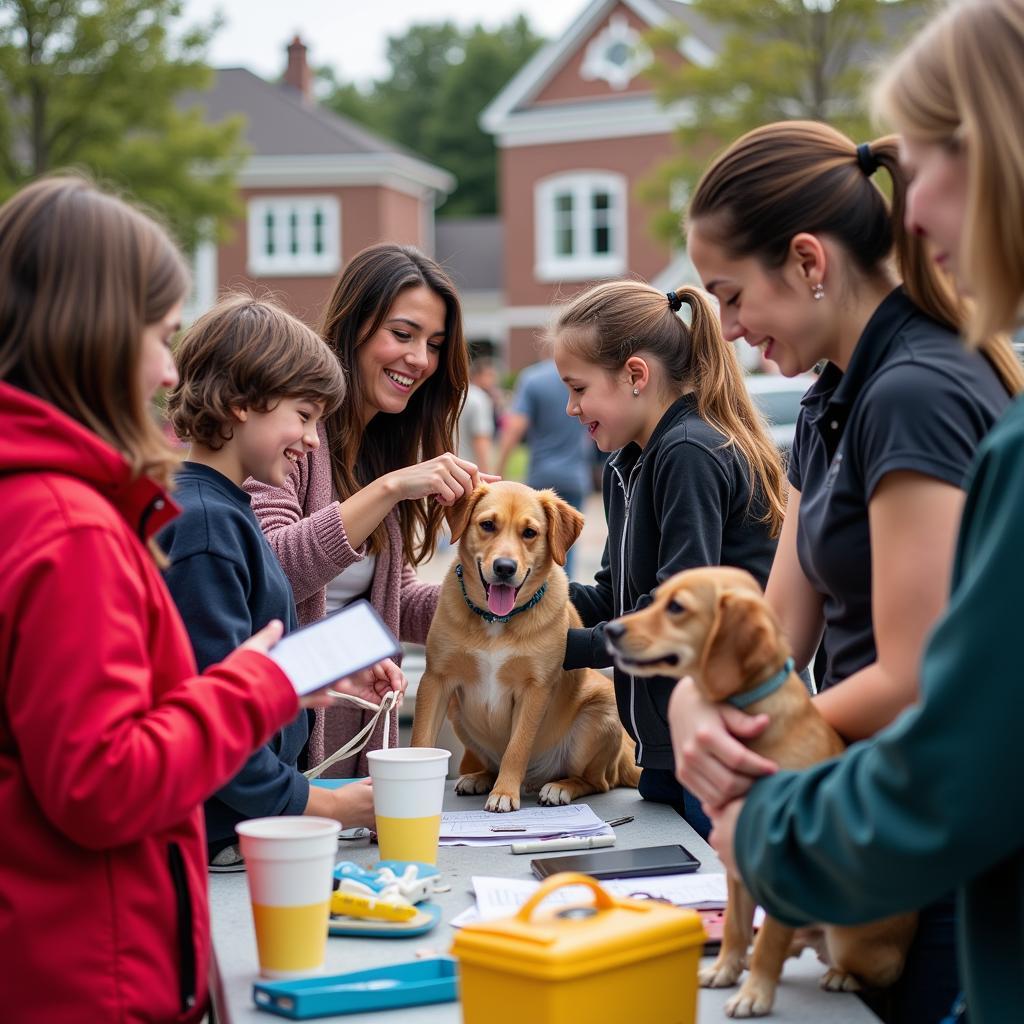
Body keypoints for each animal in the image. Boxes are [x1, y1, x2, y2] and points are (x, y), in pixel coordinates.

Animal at [409, 483, 634, 811]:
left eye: (529, 532)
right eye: (488, 525)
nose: (504, 568)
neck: (496, 620)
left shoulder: (535, 690)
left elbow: (516, 747)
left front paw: (504, 793)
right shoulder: (436, 680)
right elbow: (421, 739)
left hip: (599, 714)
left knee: (598, 783)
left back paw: (560, 787)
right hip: (457, 713)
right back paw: (480, 778)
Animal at [602, 565, 917, 1019]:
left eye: (677, 607)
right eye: (658, 599)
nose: (610, 629)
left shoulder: (777, 871)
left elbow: (768, 939)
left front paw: (755, 995)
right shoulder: (735, 864)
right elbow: (737, 925)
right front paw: (726, 969)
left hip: (853, 942)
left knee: (871, 969)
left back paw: (840, 976)